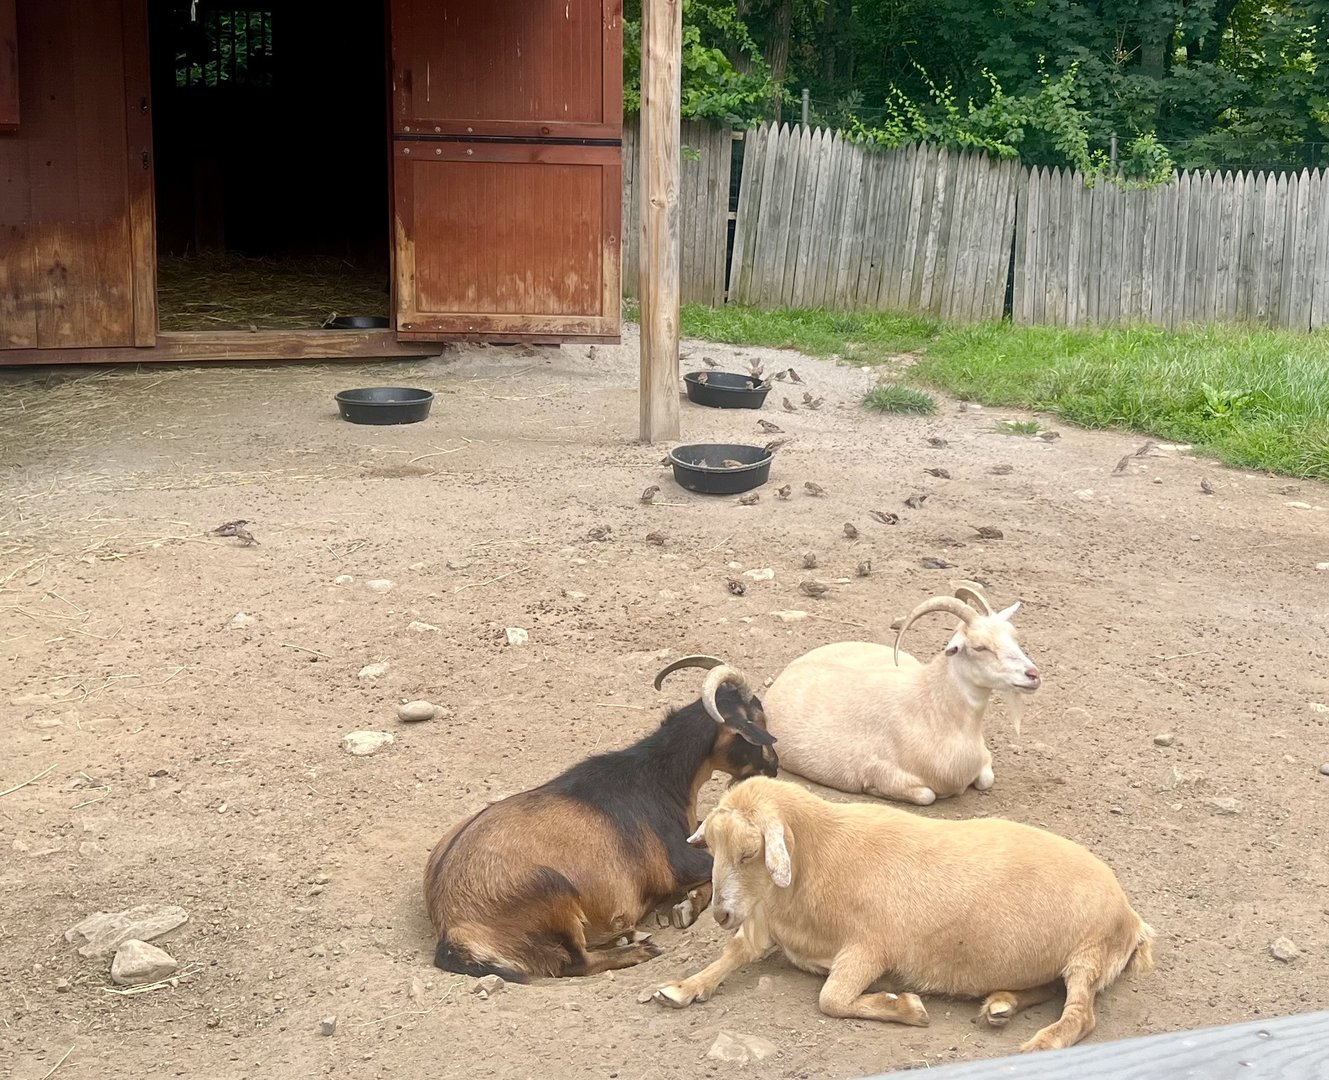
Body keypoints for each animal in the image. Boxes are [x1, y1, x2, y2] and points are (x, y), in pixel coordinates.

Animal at [423, 657, 778, 982]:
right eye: (757, 720)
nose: (773, 765)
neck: (656, 776)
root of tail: (453, 929)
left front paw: (681, 907)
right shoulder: (678, 863)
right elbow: (715, 870)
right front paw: (685, 907)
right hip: (553, 891)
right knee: (575, 962)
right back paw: (636, 947)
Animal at [655, 776, 1154, 1053]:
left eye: (748, 853)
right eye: (711, 849)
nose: (720, 914)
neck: (817, 861)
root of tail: (1131, 918)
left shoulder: (869, 949)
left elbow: (831, 999)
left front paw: (907, 1007)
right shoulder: (771, 926)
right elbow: (737, 951)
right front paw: (682, 987)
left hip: (1089, 954)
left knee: (1081, 1014)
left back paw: (1041, 1041)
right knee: (1048, 988)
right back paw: (1001, 1005)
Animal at [760, 581, 1041, 804]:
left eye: (1014, 636)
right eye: (979, 646)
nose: (1033, 675)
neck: (929, 707)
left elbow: (986, 779)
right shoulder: (886, 774)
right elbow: (927, 795)